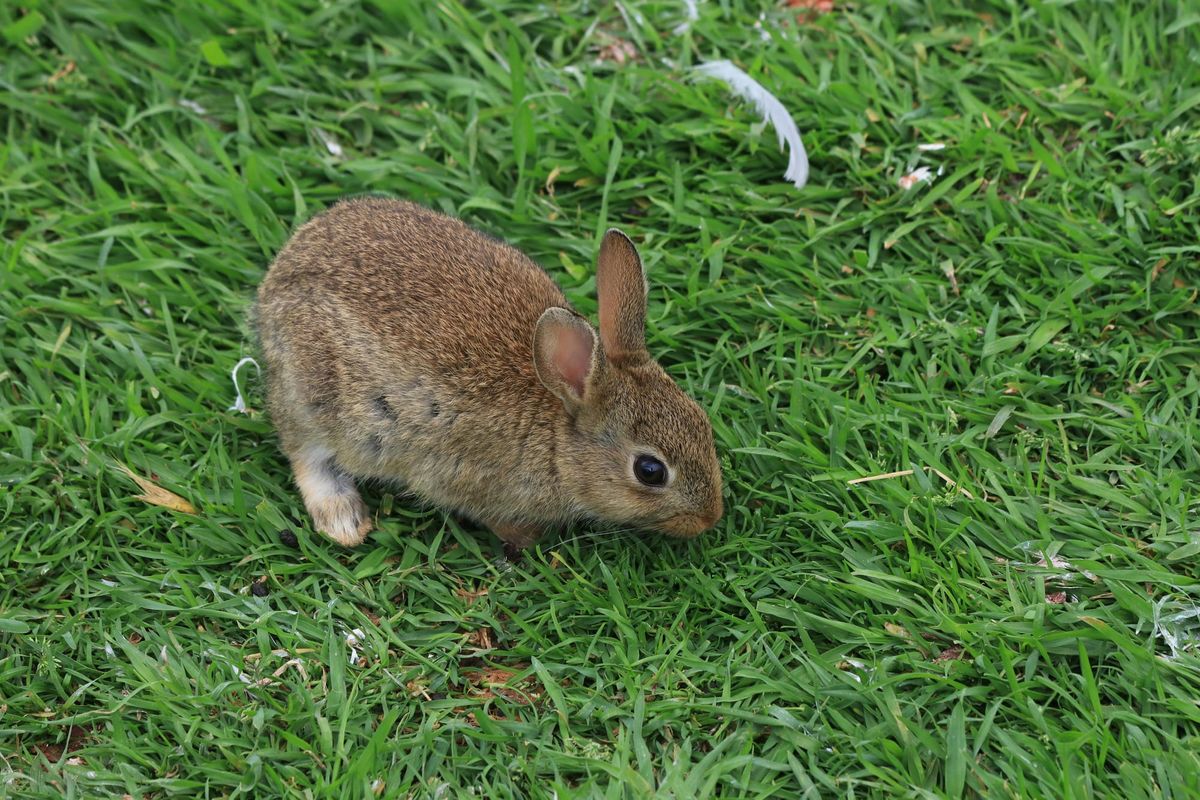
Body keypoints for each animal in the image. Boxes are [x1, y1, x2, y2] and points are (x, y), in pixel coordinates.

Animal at [254, 197, 723, 549]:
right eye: (650, 471)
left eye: (703, 420)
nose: (709, 518)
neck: (558, 439)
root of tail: (276, 279)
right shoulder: (459, 476)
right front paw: (526, 539)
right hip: (316, 396)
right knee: (305, 452)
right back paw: (344, 521)